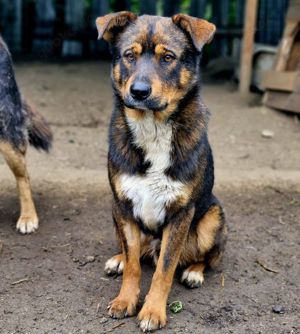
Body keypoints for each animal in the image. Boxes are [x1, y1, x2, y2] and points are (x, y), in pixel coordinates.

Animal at [97, 12, 226, 332]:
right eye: (129, 55)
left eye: (168, 57)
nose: (139, 92)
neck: (152, 127)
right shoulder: (123, 204)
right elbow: (133, 265)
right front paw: (125, 300)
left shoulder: (180, 213)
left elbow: (164, 270)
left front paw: (153, 310)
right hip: (114, 213)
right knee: (133, 252)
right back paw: (118, 258)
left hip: (212, 216)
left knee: (210, 257)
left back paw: (194, 272)